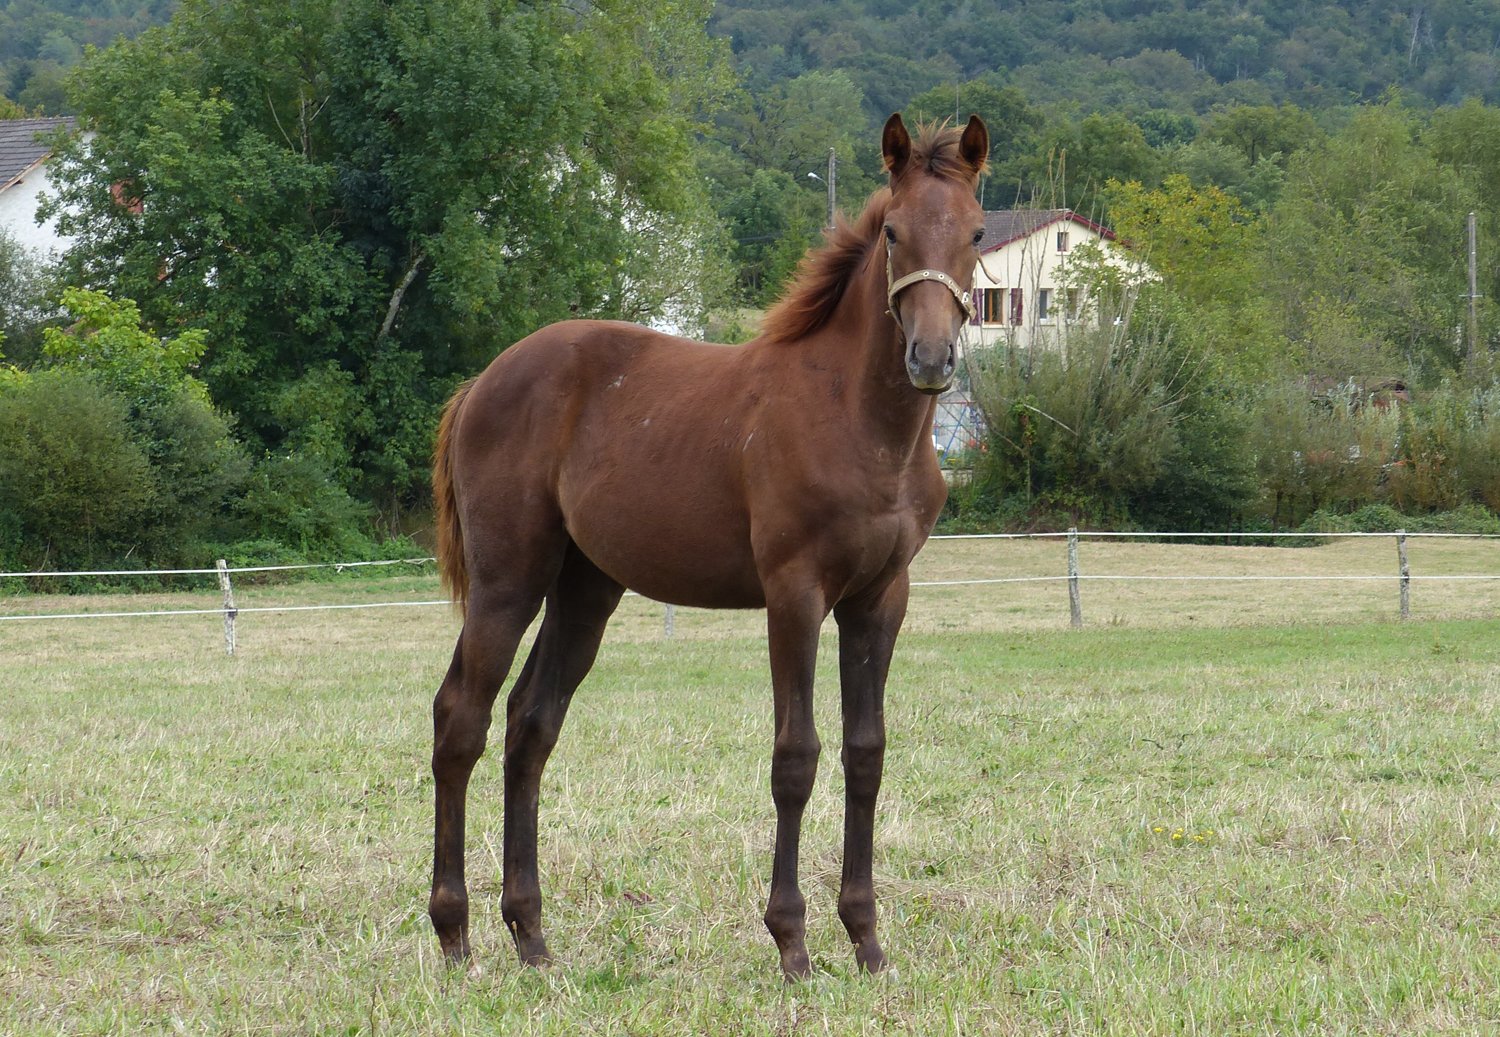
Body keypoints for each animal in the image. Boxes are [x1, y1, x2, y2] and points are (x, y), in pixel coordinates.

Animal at [427, 112, 990, 980]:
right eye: (894, 231)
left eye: (977, 231)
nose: (931, 358)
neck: (858, 419)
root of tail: (482, 381)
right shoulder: (794, 593)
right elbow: (796, 756)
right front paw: (791, 940)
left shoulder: (879, 599)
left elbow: (866, 753)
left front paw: (865, 936)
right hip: (507, 581)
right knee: (463, 718)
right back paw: (454, 931)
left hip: (585, 588)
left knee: (530, 722)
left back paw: (531, 933)